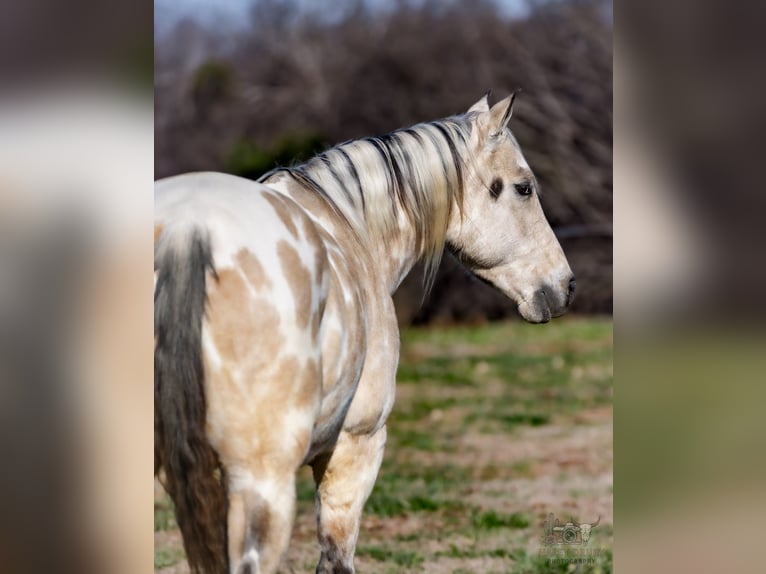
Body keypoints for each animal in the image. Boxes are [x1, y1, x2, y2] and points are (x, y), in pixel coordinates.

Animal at [154, 92, 575, 574]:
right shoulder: (357, 446)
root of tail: (187, 230)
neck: (348, 227)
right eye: (524, 188)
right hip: (264, 480)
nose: (566, 286)